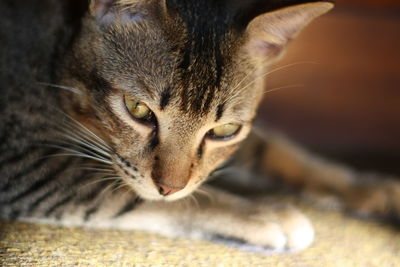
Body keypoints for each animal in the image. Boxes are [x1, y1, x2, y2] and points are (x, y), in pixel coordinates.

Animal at [0, 0, 400, 253]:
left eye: (224, 131)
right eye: (137, 109)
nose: (169, 187)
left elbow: (271, 147)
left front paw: (368, 187)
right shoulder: (20, 160)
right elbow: (123, 192)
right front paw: (265, 213)